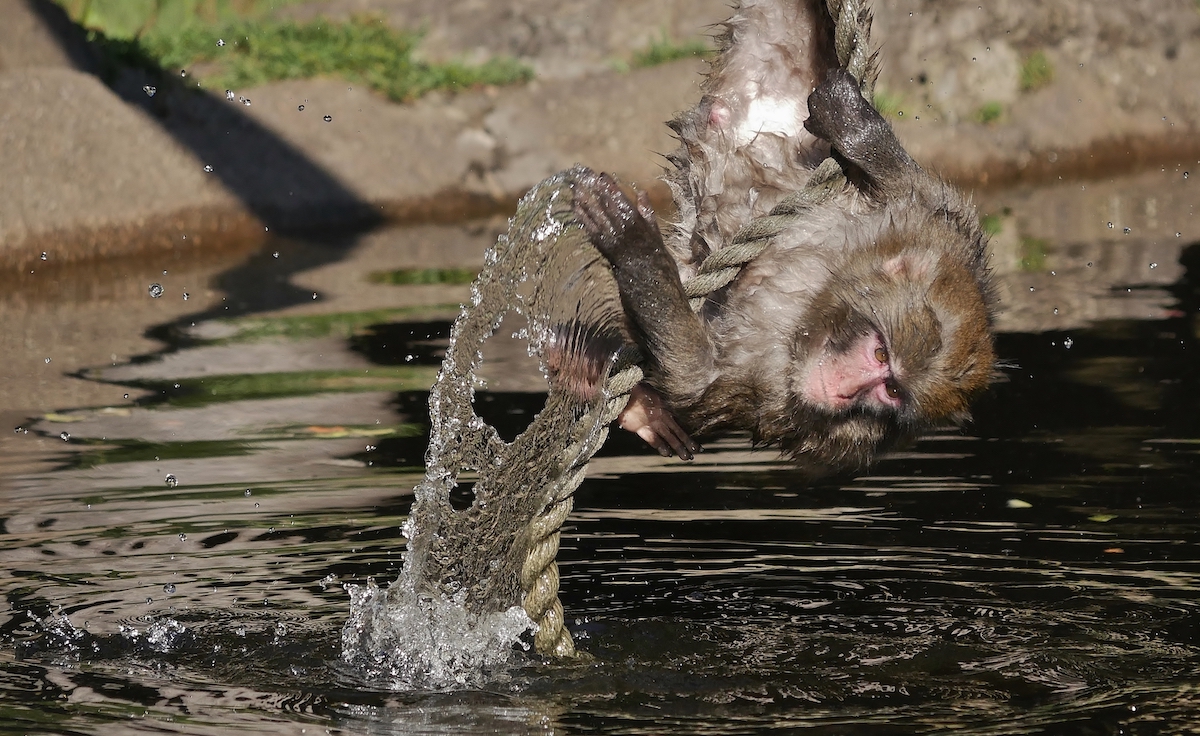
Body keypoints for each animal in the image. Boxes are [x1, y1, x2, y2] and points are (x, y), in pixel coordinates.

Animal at [568, 0, 993, 473]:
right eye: (881, 354)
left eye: (892, 391)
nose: (842, 391)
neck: (827, 285)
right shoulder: (935, 221)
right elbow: (910, 182)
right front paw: (858, 127)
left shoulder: (789, 405)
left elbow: (696, 382)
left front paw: (635, 249)